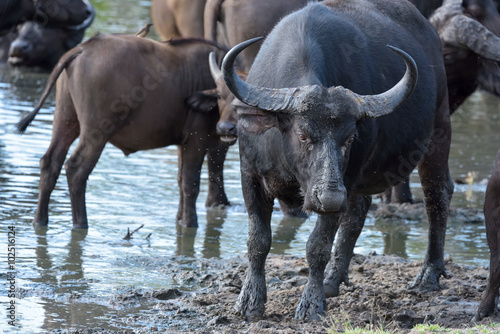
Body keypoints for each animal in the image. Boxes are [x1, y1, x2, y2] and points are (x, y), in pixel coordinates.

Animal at [15, 36, 230, 230]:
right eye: (221, 96)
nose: (226, 127)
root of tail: (84, 47)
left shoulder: (182, 144)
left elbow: (180, 180)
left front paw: (179, 219)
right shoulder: (196, 140)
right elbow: (190, 183)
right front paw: (190, 223)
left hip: (65, 120)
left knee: (50, 162)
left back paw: (40, 220)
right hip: (97, 132)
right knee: (76, 169)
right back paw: (81, 224)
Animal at [223, 0, 454, 320]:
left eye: (349, 138)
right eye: (303, 135)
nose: (330, 196)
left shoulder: (342, 182)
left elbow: (317, 246)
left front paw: (311, 303)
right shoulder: (251, 175)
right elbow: (258, 240)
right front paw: (250, 301)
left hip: (438, 131)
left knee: (437, 196)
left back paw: (429, 274)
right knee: (357, 213)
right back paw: (333, 280)